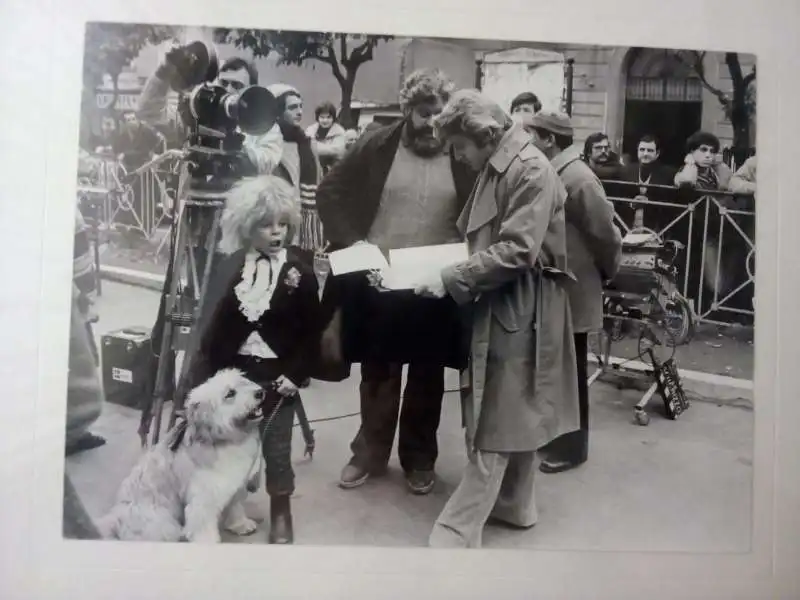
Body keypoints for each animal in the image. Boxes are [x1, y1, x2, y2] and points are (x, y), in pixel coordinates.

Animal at [98, 368, 268, 548]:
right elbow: (203, 526)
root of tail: (115, 519)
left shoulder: (234, 486)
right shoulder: (203, 499)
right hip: (164, 523)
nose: (260, 392)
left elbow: (235, 506)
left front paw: (240, 524)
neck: (222, 439)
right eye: (230, 393)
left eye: (243, 381)